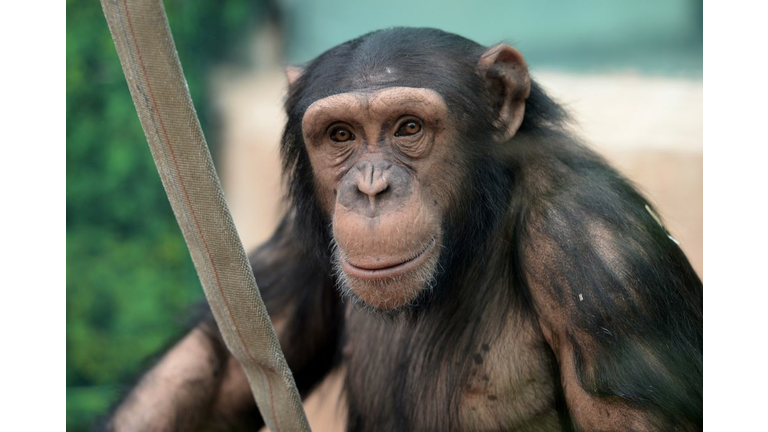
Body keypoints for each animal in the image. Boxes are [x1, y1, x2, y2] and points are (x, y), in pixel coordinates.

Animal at [106, 27, 704, 432]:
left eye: (408, 127)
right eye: (340, 135)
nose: (370, 188)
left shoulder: (602, 261)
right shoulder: (305, 233)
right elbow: (222, 375)